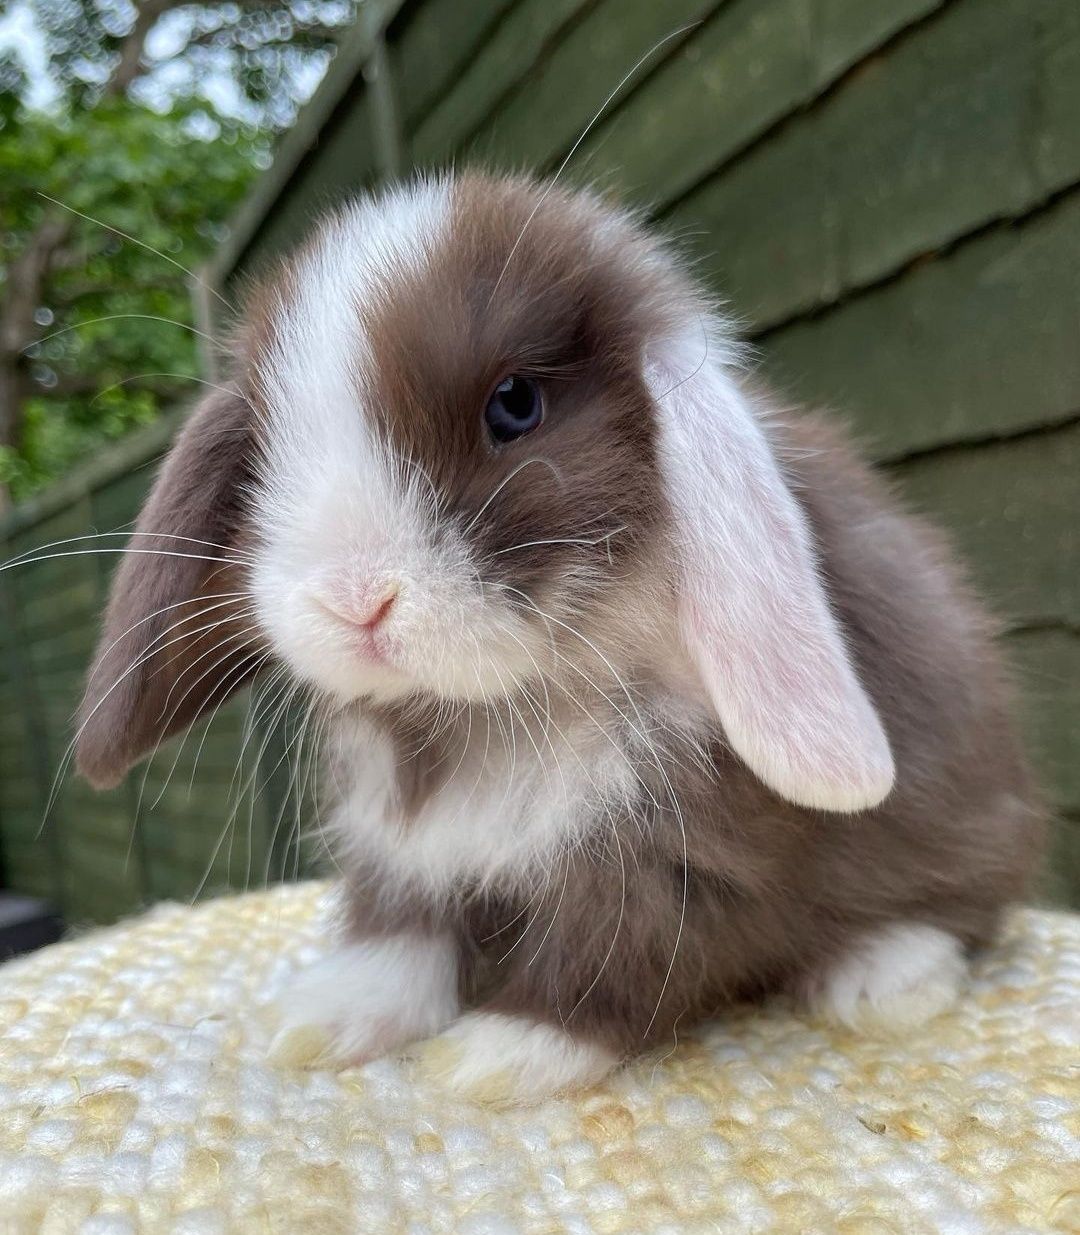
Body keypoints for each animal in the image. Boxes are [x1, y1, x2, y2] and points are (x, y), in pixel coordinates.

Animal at [71, 171, 1037, 1101]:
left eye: (516, 404)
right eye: (268, 445)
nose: (356, 600)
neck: (492, 709)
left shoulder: (678, 857)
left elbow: (609, 959)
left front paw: (497, 1056)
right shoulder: (400, 846)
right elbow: (403, 934)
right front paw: (327, 1016)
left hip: (968, 824)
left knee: (965, 908)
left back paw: (879, 979)